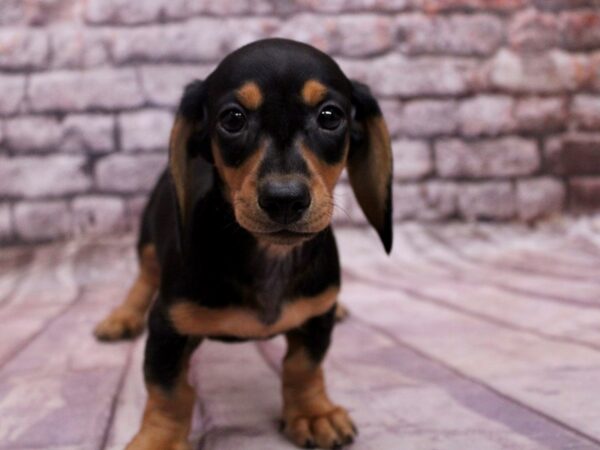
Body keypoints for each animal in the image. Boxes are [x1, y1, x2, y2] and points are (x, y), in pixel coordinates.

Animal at [94, 37, 394, 450]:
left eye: (330, 116)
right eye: (233, 119)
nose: (284, 200)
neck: (269, 255)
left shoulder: (316, 318)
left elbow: (303, 366)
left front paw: (313, 413)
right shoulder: (168, 327)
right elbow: (169, 390)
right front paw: (160, 440)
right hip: (149, 245)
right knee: (144, 278)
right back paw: (122, 316)